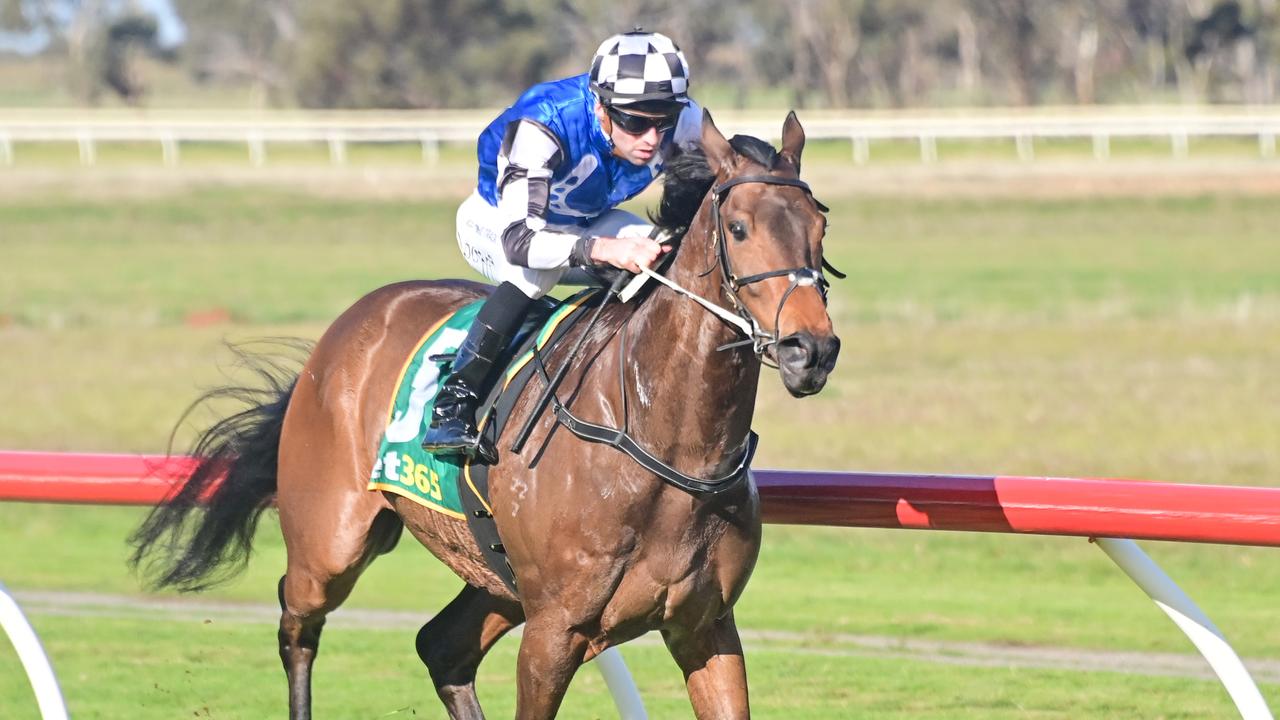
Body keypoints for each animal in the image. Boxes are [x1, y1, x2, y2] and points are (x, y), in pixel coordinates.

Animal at [130, 110, 840, 719]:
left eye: (819, 227)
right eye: (739, 228)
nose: (810, 349)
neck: (663, 440)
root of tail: (337, 337)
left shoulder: (706, 628)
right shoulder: (554, 631)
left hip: (493, 575)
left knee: (441, 646)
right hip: (328, 542)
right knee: (297, 624)